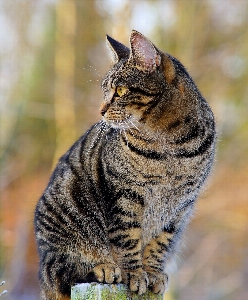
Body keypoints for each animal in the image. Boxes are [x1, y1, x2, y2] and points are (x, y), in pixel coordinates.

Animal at [34, 30, 215, 300]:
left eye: (119, 90)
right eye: (104, 91)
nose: (100, 110)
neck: (170, 144)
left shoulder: (181, 204)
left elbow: (161, 242)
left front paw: (152, 272)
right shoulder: (124, 193)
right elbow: (127, 237)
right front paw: (134, 274)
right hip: (63, 231)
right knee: (64, 271)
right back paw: (104, 268)